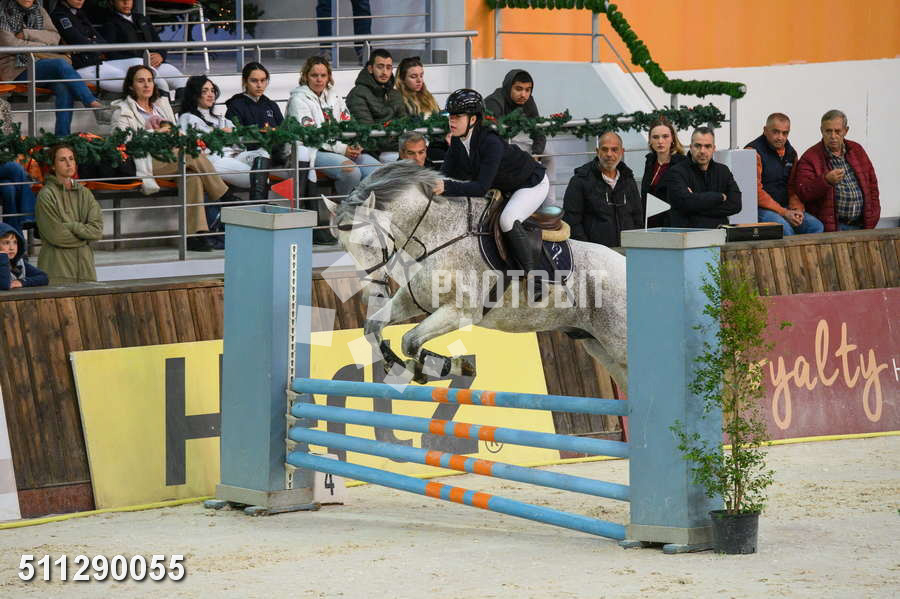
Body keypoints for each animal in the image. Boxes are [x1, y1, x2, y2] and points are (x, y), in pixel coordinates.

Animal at [322, 161, 628, 393]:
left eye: (368, 243)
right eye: (343, 246)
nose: (372, 294)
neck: (436, 235)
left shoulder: (461, 312)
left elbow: (410, 341)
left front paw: (452, 366)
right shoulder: (412, 302)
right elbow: (373, 329)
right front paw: (401, 366)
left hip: (617, 341)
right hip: (597, 344)